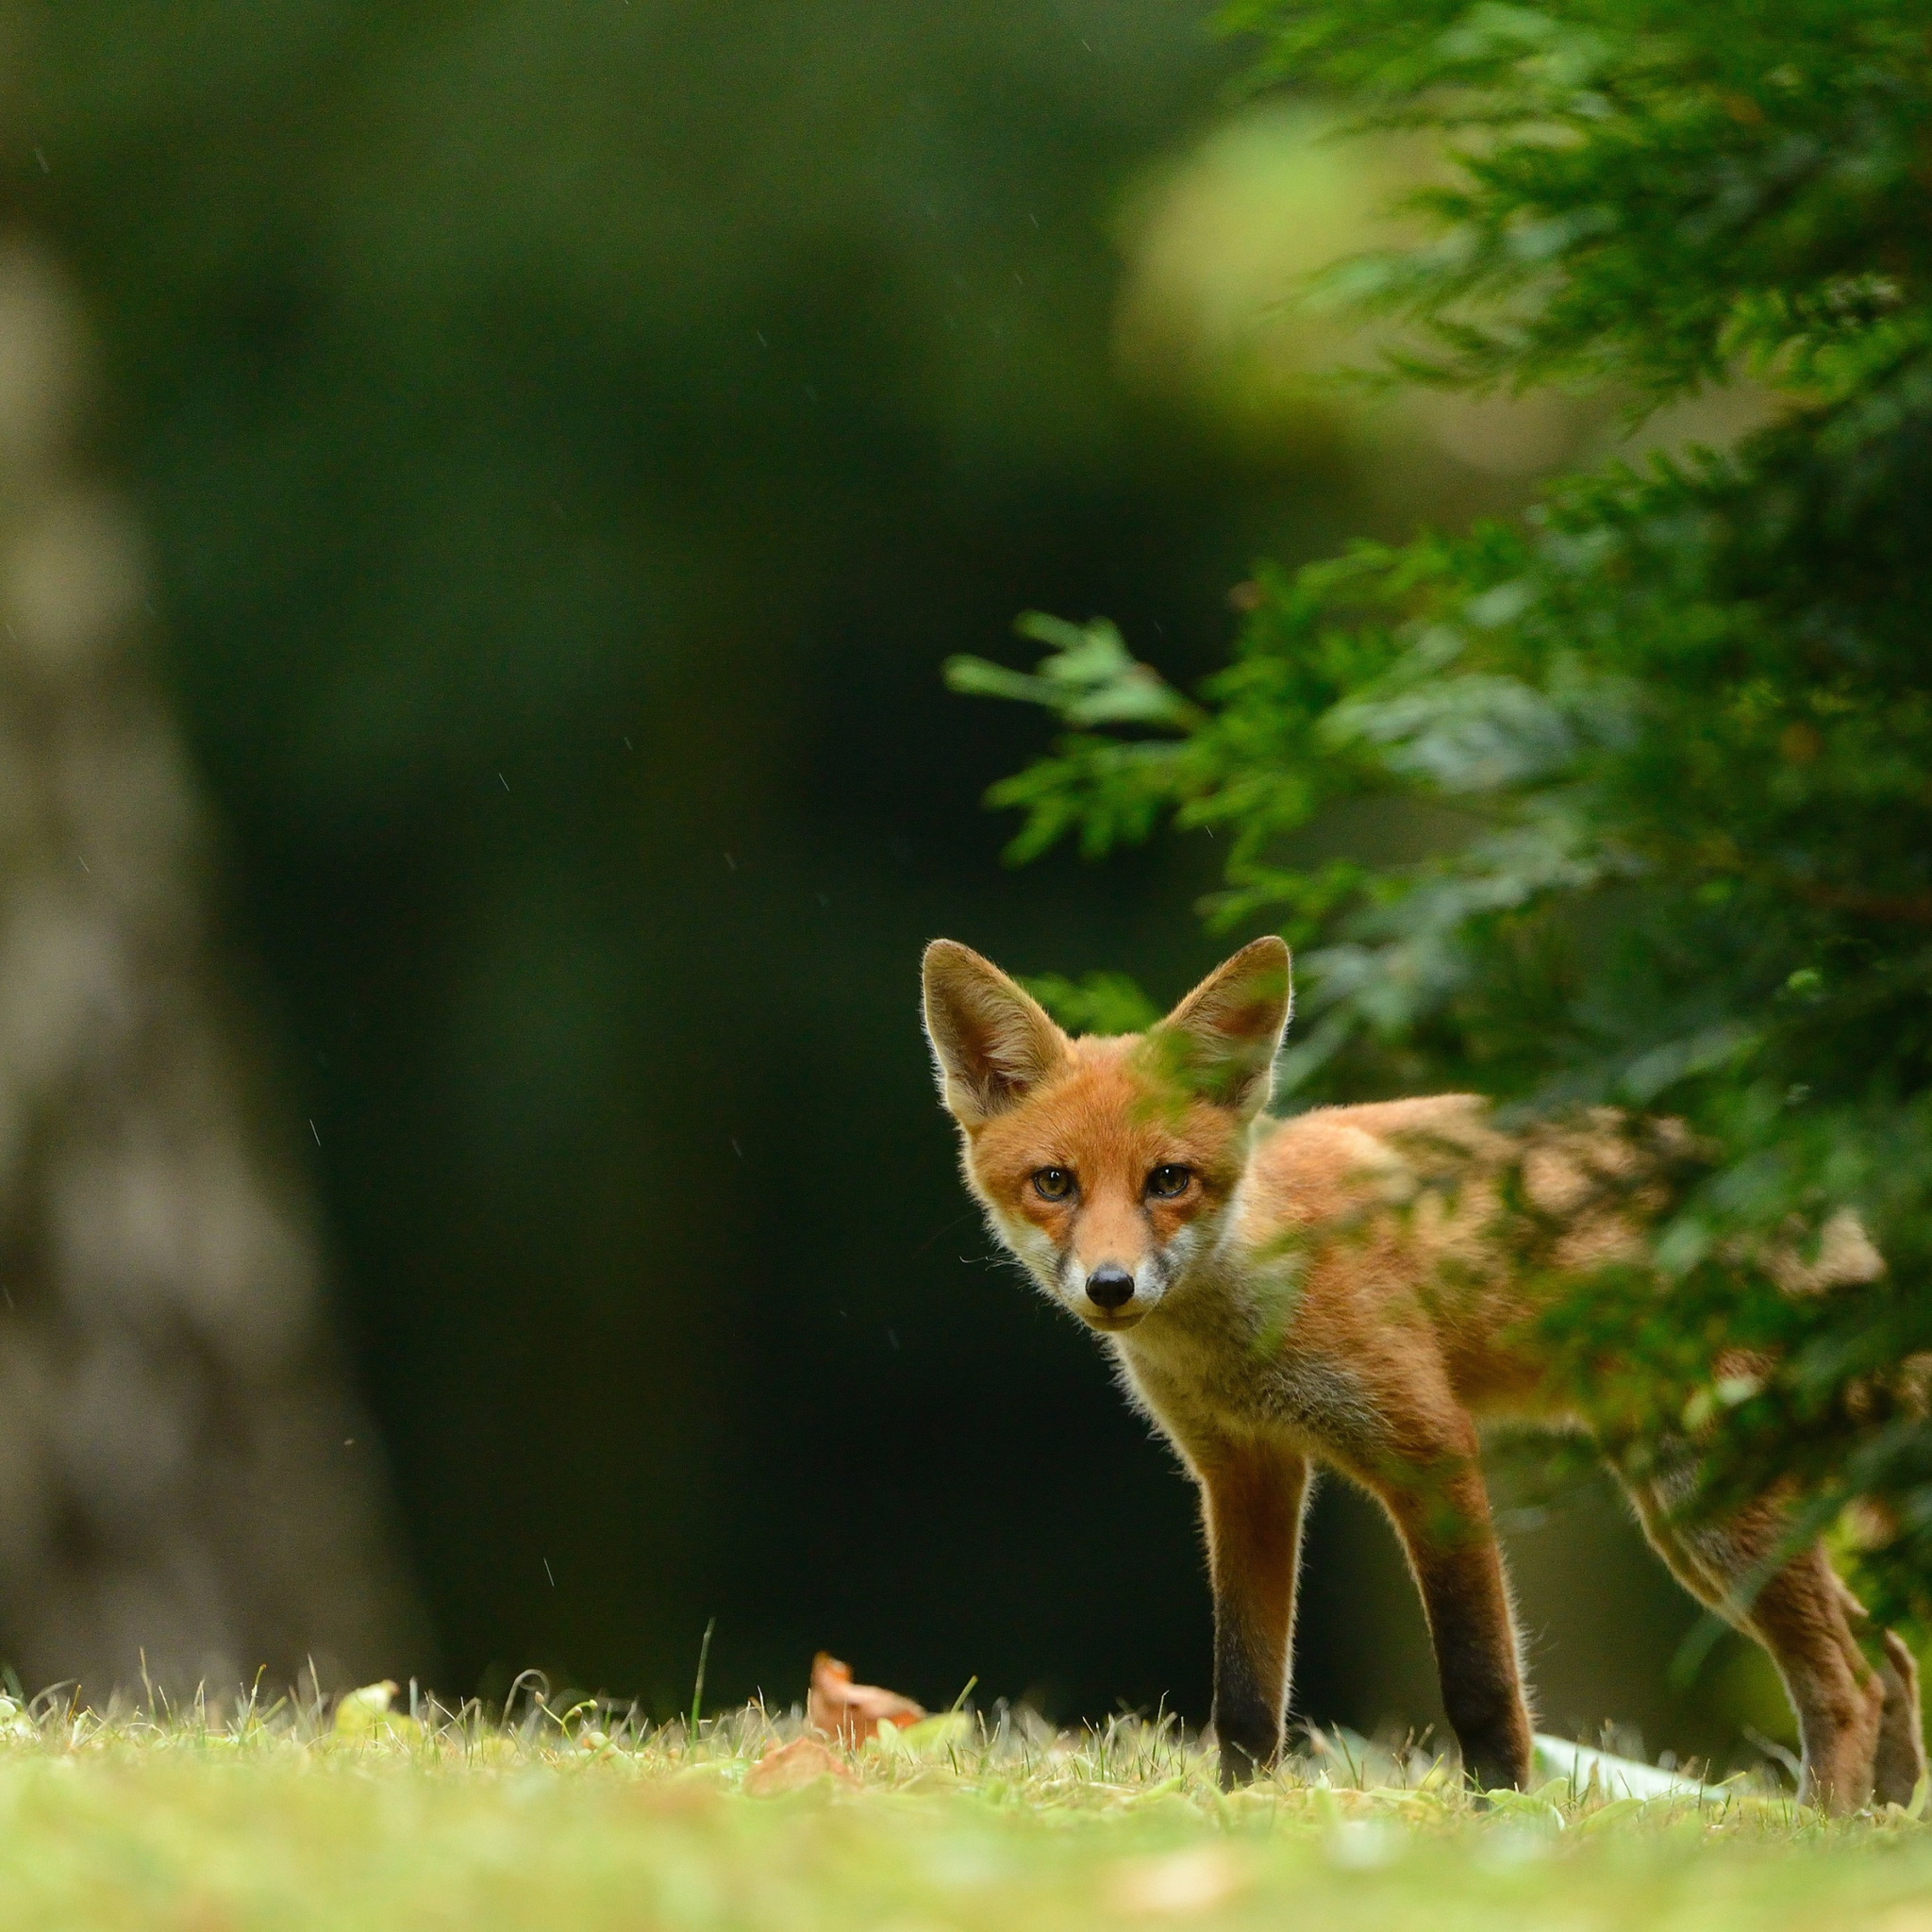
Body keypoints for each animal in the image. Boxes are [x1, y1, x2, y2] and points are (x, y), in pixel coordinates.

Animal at [927, 935, 1924, 1807]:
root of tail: (1836, 1224)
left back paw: (1820, 1834)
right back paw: (1888, 1822)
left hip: (1712, 1508)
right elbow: (1245, 1693)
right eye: (1054, 1183)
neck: (1252, 1317)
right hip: (1691, 1516)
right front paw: (1242, 1812)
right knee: (1892, 1657)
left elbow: (1480, 1682)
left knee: (1847, 1682)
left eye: (1168, 1181)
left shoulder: (1429, 1452)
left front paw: (1502, 1816)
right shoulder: (1245, 1475)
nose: (1111, 1286)